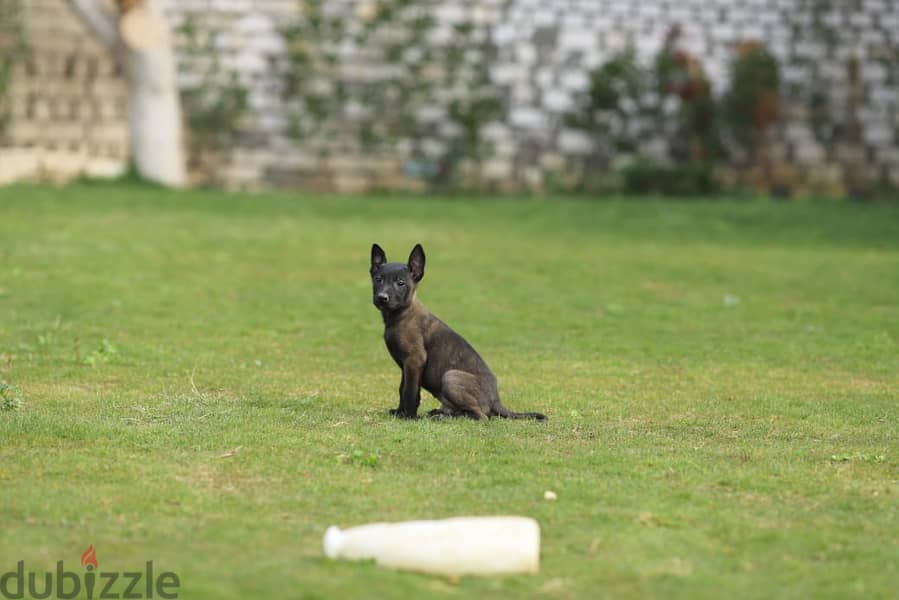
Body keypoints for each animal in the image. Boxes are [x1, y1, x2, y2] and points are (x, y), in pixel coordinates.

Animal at [368, 244, 544, 422]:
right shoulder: (406, 365)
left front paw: (409, 417)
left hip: (450, 377)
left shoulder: (414, 360)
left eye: (401, 283)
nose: (382, 298)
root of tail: (496, 400)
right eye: (378, 279)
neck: (401, 314)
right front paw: (399, 412)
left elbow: (409, 392)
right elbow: (402, 388)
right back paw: (440, 414)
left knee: (481, 416)